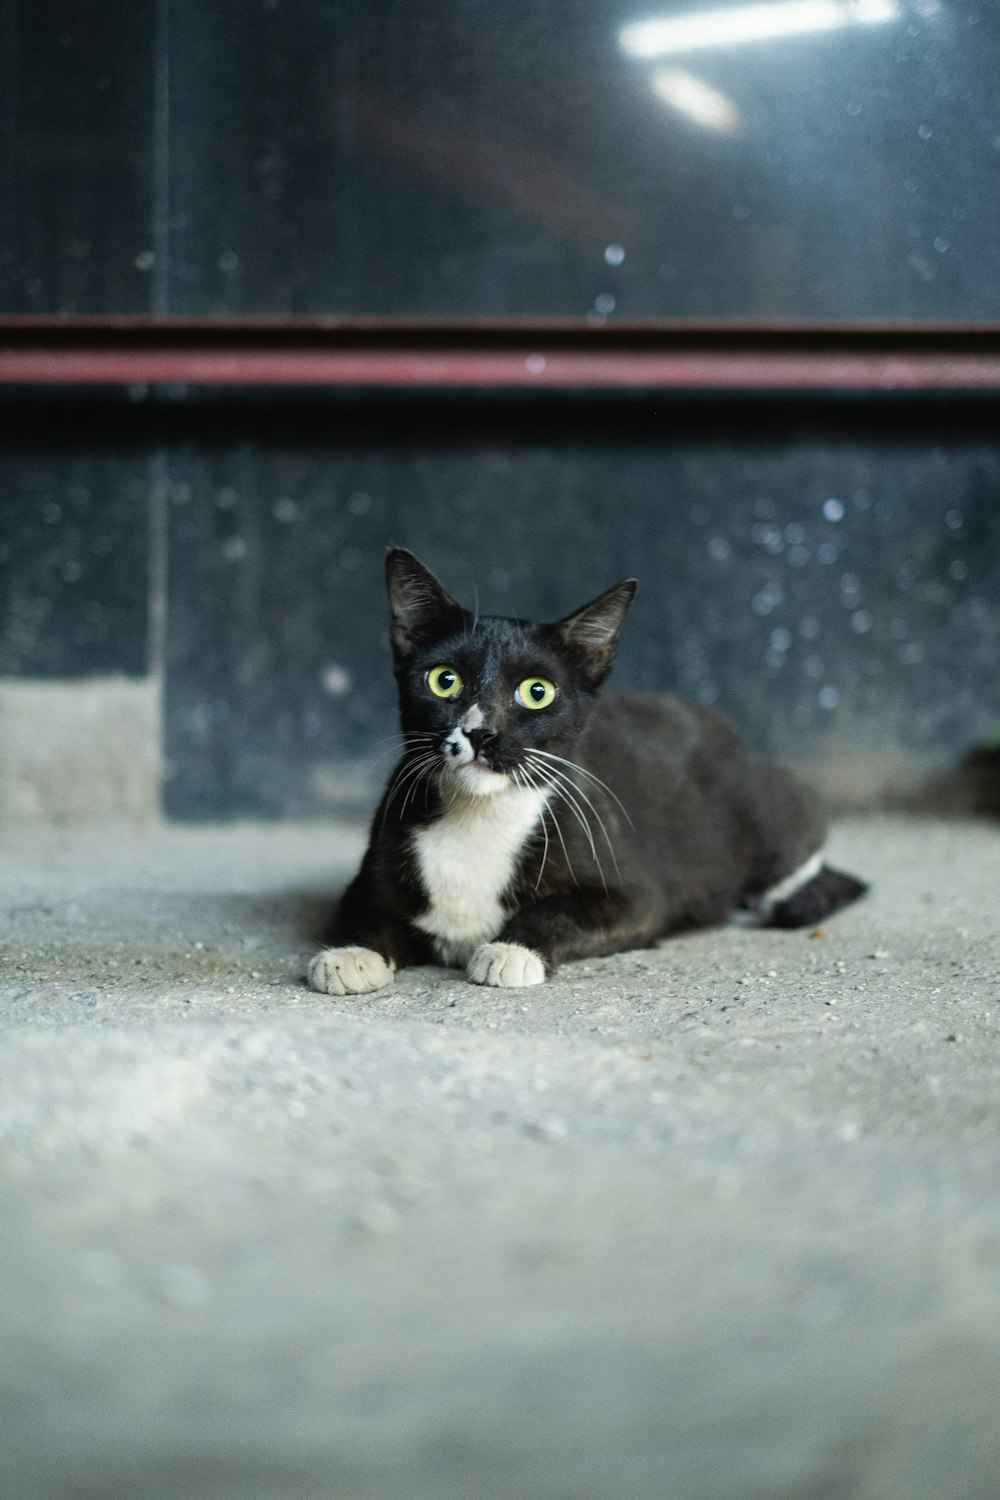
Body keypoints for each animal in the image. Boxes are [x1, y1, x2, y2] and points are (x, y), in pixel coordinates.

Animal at [310, 552, 869, 996]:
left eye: (537, 692)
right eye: (444, 681)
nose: (481, 733)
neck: (478, 815)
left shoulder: (636, 892)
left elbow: (559, 910)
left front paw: (511, 951)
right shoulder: (372, 870)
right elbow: (364, 912)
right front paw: (350, 956)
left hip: (770, 808)